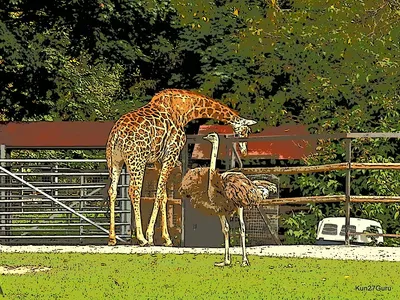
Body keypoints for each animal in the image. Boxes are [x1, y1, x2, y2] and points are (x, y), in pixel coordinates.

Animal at [106, 88, 256, 246]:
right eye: (246, 131)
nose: (244, 151)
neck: (185, 110)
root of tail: (116, 134)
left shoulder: (159, 160)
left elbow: (163, 195)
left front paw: (166, 239)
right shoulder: (171, 154)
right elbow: (158, 193)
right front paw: (150, 235)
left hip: (115, 161)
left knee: (112, 191)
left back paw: (112, 238)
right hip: (137, 160)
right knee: (134, 191)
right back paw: (141, 238)